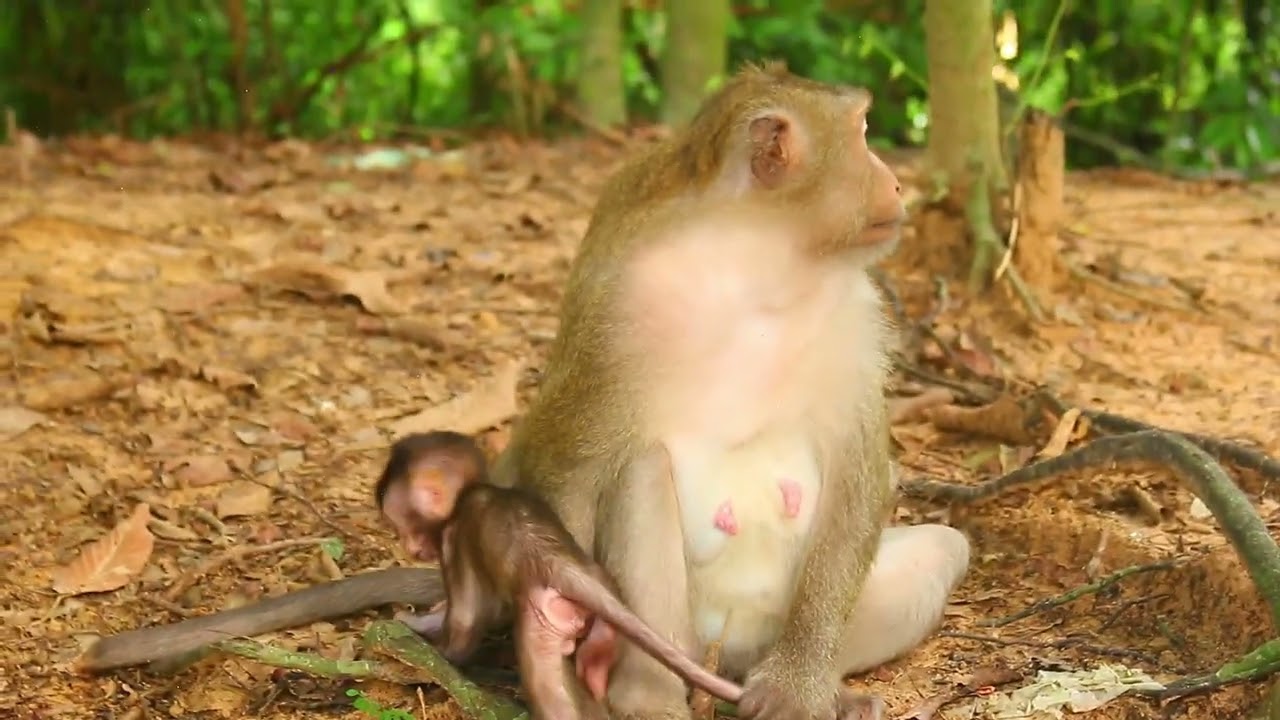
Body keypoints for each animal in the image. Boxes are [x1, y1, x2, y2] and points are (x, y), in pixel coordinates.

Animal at [78, 64, 972, 720]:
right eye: (862, 135)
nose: (897, 183)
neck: (763, 263)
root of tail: (724, 652)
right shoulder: (617, 309)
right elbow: (570, 461)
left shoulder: (855, 313)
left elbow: (861, 466)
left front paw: (802, 685)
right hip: (679, 627)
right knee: (640, 475)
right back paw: (645, 695)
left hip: (762, 634)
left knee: (940, 549)